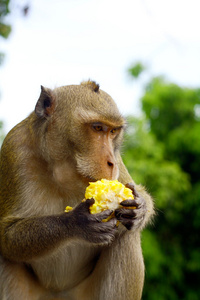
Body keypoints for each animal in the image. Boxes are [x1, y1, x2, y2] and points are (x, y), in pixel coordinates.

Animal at [0, 80, 155, 300]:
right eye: (97, 128)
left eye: (112, 132)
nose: (111, 163)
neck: (63, 170)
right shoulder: (14, 149)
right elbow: (6, 237)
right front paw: (75, 222)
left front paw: (139, 207)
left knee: (127, 235)